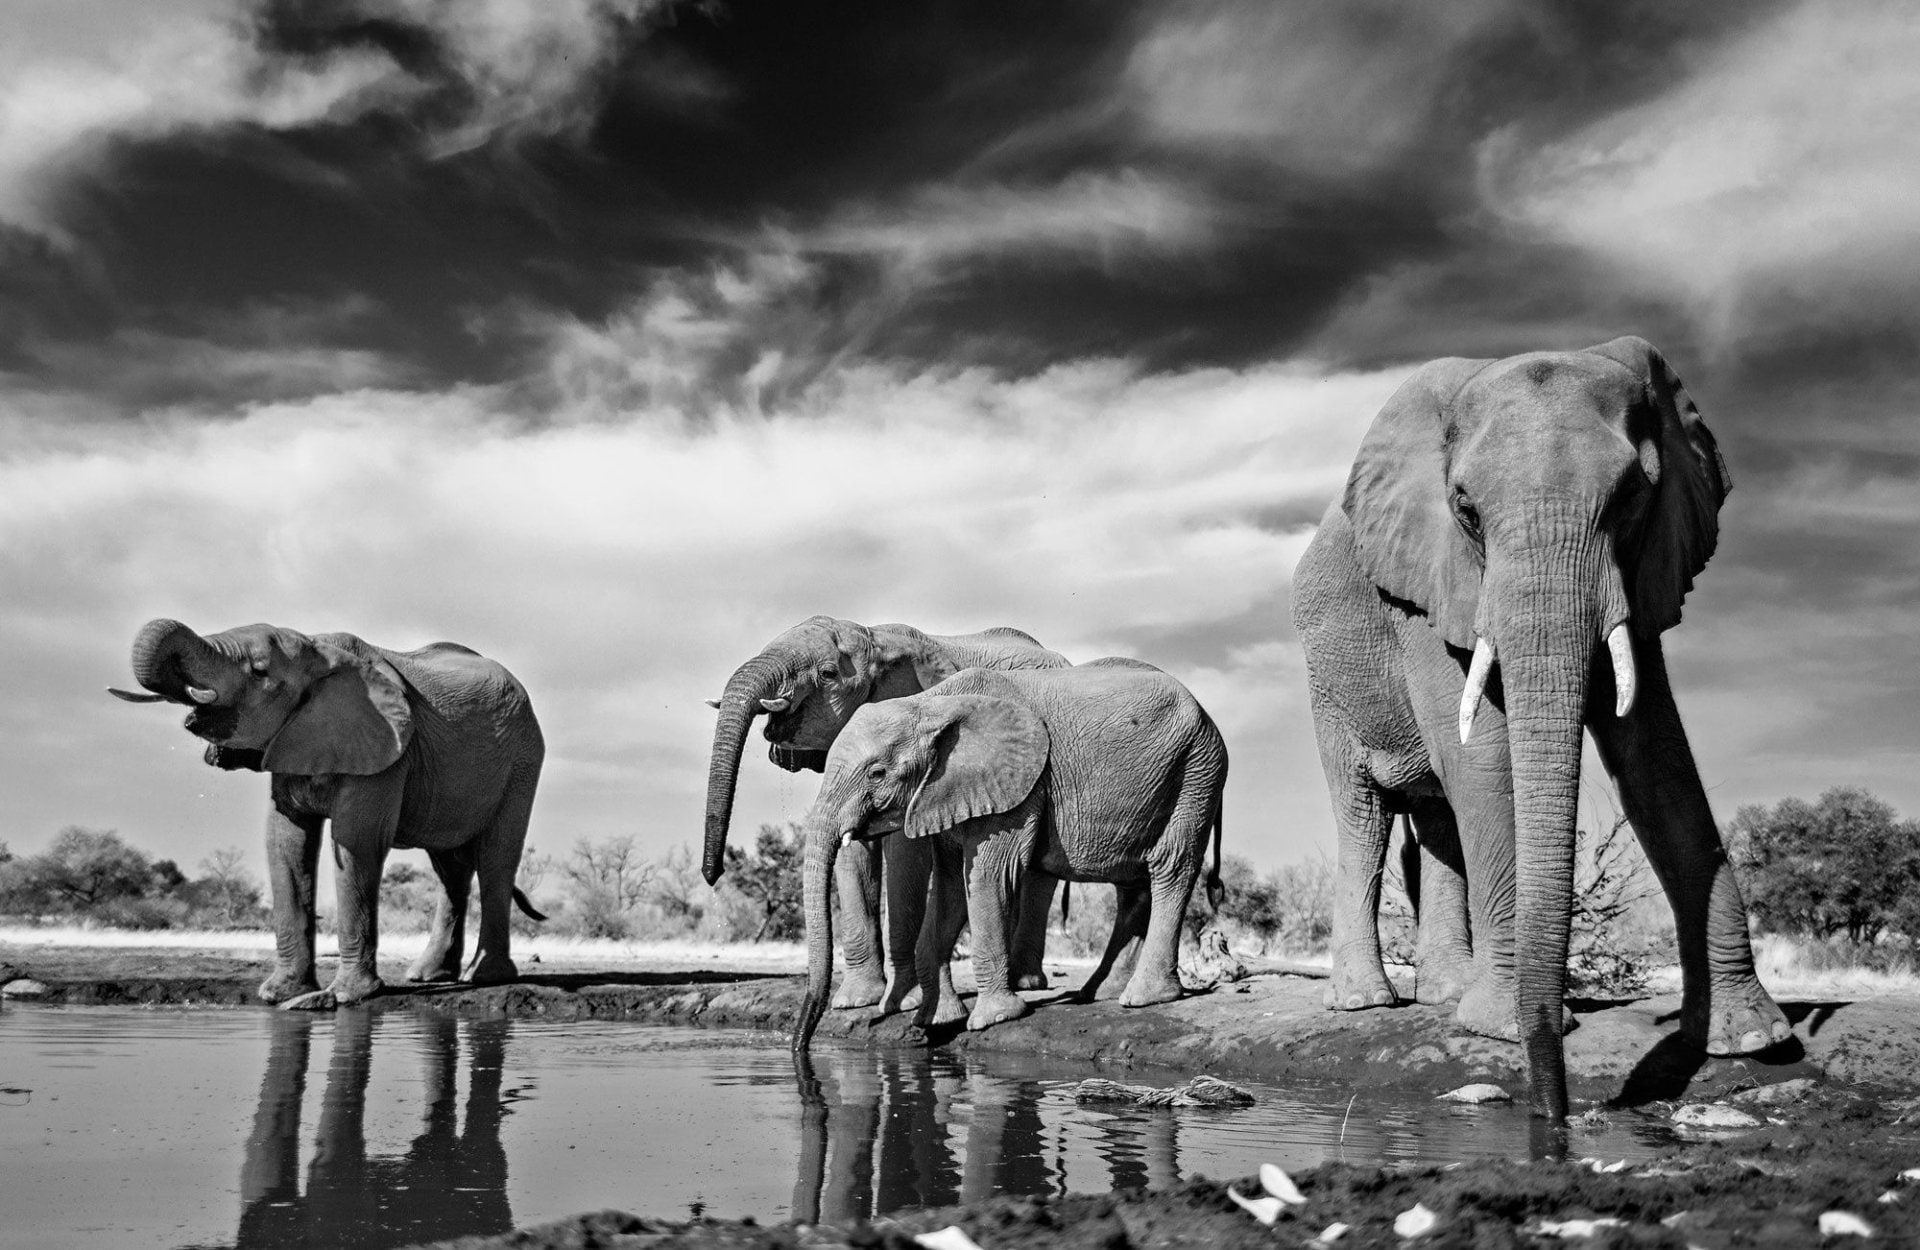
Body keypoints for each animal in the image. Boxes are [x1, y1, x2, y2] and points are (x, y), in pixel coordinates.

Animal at [109, 618, 545, 1009]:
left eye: (259, 670)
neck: (317, 649)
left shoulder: (388, 750)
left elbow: (357, 844)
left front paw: (345, 997)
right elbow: (285, 844)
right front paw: (279, 995)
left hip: (522, 760)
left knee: (496, 860)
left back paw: (486, 978)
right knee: (450, 869)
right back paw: (427, 977)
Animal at [703, 615, 1071, 1009]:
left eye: (828, 674)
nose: (713, 874)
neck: (876, 637)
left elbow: (905, 852)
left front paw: (905, 1002)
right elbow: (852, 850)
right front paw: (855, 1001)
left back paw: (1026, 983)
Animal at [792, 660, 1227, 1052]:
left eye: (877, 773)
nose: (800, 1045)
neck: (931, 704)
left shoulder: (1016, 789)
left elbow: (988, 878)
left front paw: (993, 1019)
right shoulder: (947, 792)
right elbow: (951, 887)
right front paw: (937, 1020)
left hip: (1197, 771)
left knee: (1170, 867)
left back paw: (1144, 998)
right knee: (1132, 885)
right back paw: (1099, 993)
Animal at [1291, 337, 1789, 1120]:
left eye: (1632, 497)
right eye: (1464, 508)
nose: (1553, 1117)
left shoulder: (1641, 569)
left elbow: (1657, 756)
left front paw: (1750, 1038)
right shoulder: (1426, 588)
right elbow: (1484, 759)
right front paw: (1499, 1027)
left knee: (1437, 820)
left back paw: (1443, 993)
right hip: (1326, 678)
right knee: (1364, 814)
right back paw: (1367, 1005)